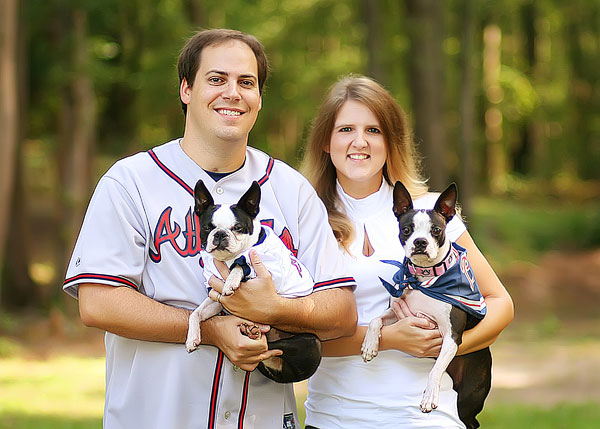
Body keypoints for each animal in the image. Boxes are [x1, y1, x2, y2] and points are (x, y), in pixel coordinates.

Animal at [186, 179, 322, 382]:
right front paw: (192, 338)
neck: (228, 258)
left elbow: (241, 265)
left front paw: (231, 281)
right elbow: (195, 313)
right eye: (207, 228)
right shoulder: (215, 299)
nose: (220, 234)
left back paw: (255, 333)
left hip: (307, 341)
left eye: (238, 228)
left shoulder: (270, 272)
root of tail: (285, 372)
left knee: (268, 346)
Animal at [360, 181, 492, 428]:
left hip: (469, 397)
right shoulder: (396, 311)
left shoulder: (451, 336)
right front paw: (369, 345)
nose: (420, 242)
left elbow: (435, 369)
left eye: (436, 230)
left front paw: (429, 396)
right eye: (407, 229)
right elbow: (375, 320)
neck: (424, 277)